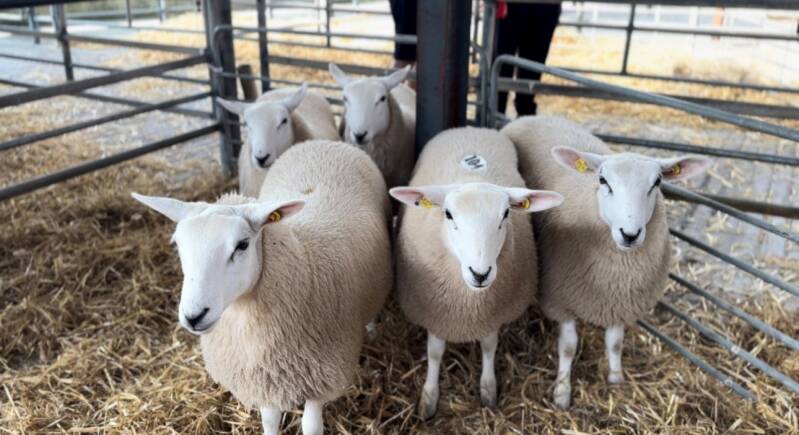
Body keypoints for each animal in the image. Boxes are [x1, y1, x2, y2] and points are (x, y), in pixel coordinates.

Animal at [132, 140, 392, 435]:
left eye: (242, 245)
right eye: (177, 244)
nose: (193, 316)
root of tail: (324, 143)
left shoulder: (322, 377)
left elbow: (311, 426)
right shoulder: (264, 378)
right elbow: (269, 420)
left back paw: (371, 329)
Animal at [389, 127, 563, 419]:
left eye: (506, 214)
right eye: (448, 214)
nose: (480, 274)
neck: (468, 309)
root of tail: (470, 128)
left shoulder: (492, 314)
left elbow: (489, 346)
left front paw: (488, 391)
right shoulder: (435, 312)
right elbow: (435, 352)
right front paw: (429, 398)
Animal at [501, 115, 711, 410]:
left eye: (657, 182)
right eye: (603, 180)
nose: (630, 234)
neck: (617, 276)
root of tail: (531, 116)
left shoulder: (621, 302)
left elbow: (615, 342)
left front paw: (615, 378)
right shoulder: (560, 300)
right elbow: (568, 346)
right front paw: (562, 392)